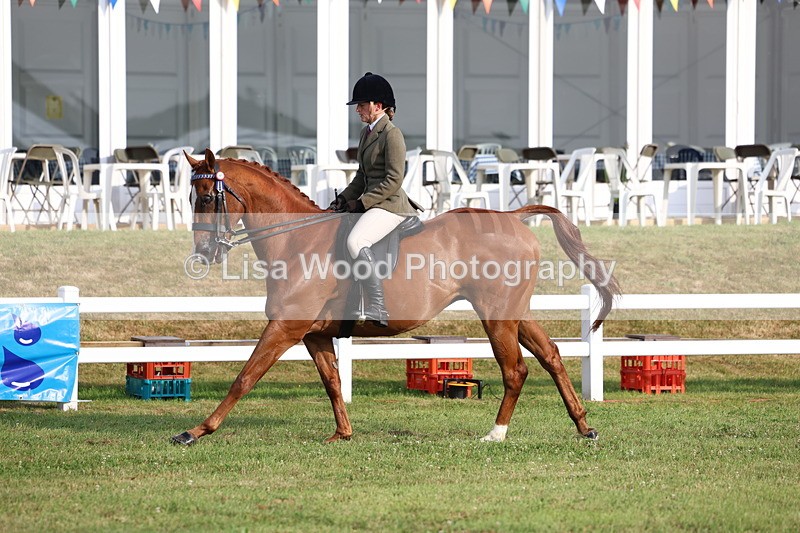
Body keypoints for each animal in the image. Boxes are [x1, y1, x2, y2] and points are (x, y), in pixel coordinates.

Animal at [172, 149, 620, 446]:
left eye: (208, 198)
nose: (204, 254)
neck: (297, 240)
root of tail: (512, 217)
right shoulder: (314, 333)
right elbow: (333, 381)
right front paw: (343, 433)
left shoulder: (286, 326)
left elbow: (244, 377)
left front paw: (195, 431)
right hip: (514, 312)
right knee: (551, 356)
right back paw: (584, 425)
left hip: (496, 316)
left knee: (516, 370)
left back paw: (496, 433)